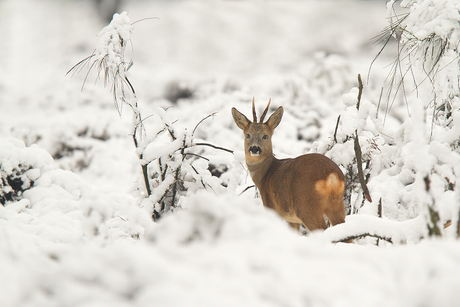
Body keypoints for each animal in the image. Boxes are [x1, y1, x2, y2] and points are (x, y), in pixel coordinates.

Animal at [232, 100, 346, 232]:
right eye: (248, 135)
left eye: (265, 136)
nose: (254, 148)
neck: (266, 174)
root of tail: (332, 175)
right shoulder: (292, 219)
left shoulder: (272, 209)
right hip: (336, 202)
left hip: (306, 204)